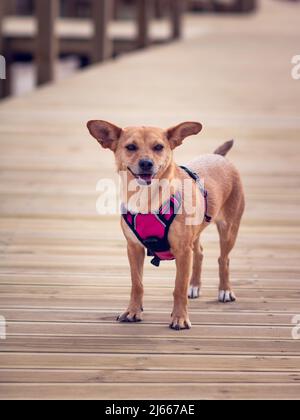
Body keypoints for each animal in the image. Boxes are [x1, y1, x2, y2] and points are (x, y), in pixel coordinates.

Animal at [87, 120, 246, 332]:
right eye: (131, 147)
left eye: (158, 147)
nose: (146, 163)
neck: (146, 199)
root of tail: (218, 156)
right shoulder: (134, 248)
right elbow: (137, 284)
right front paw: (133, 311)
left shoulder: (182, 251)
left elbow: (178, 288)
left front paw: (180, 318)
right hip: (196, 233)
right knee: (200, 253)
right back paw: (194, 286)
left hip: (228, 229)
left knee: (224, 259)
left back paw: (225, 291)